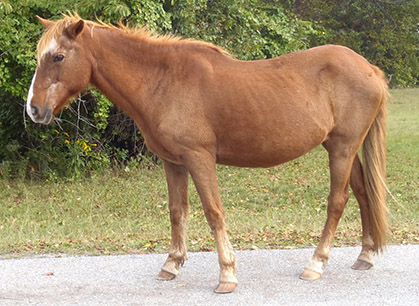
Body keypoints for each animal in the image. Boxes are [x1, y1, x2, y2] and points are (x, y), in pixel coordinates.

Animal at [26, 14, 388, 294]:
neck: (163, 81)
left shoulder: (199, 158)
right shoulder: (173, 162)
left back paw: (316, 263)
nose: (33, 110)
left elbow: (214, 212)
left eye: (58, 57)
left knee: (338, 200)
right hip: (343, 148)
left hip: (342, 148)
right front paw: (172, 264)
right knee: (361, 192)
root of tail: (369, 67)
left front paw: (227, 273)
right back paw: (365, 256)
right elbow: (177, 212)